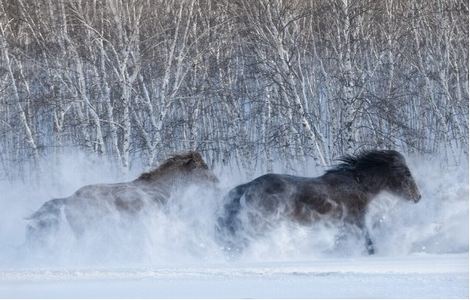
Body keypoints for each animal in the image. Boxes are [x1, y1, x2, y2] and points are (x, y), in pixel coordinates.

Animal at [217, 150, 422, 255]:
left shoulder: (345, 225)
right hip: (261, 222)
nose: (418, 196)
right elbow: (369, 243)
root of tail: (248, 186)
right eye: (406, 173)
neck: (356, 185)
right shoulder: (355, 222)